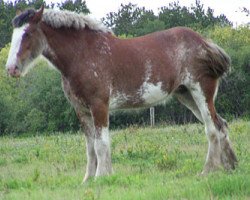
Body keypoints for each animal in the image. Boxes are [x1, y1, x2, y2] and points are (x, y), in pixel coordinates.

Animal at [4, 6, 237, 182]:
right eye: (14, 35)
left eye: (27, 34)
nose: (11, 69)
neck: (83, 55)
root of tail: (206, 43)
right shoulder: (81, 110)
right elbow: (90, 147)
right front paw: (88, 180)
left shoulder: (99, 105)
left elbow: (101, 144)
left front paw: (102, 177)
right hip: (186, 95)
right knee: (221, 125)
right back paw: (230, 166)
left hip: (201, 92)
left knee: (211, 129)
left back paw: (207, 171)